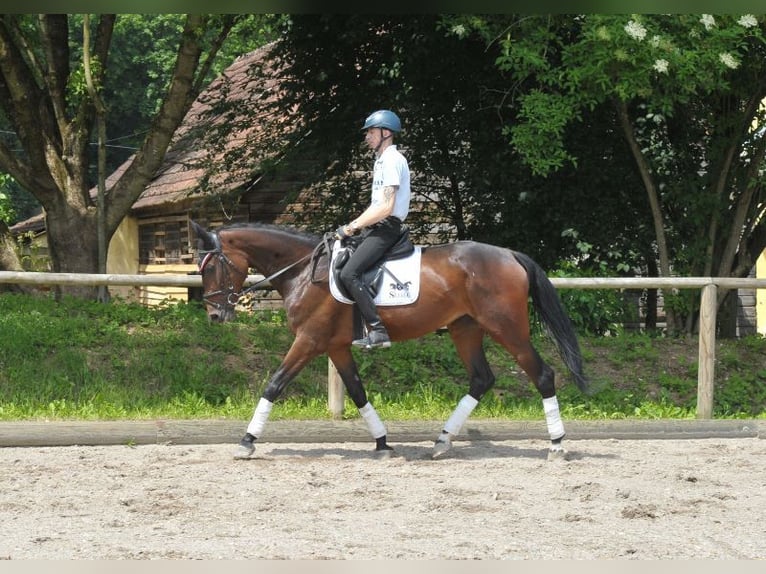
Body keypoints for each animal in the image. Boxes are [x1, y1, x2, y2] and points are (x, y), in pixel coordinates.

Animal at [190, 222, 588, 464]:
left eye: (209, 267)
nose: (214, 316)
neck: (303, 271)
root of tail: (509, 254)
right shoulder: (336, 347)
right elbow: (357, 391)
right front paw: (382, 443)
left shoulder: (309, 340)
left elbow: (274, 384)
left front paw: (246, 441)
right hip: (465, 329)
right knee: (481, 378)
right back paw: (443, 441)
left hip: (507, 329)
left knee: (542, 375)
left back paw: (557, 444)